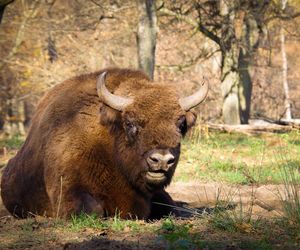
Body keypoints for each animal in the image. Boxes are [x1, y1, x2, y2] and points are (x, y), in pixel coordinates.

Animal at [0, 68, 206, 219]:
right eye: (130, 123)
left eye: (180, 125)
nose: (162, 160)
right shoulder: (67, 189)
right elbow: (93, 209)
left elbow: (170, 206)